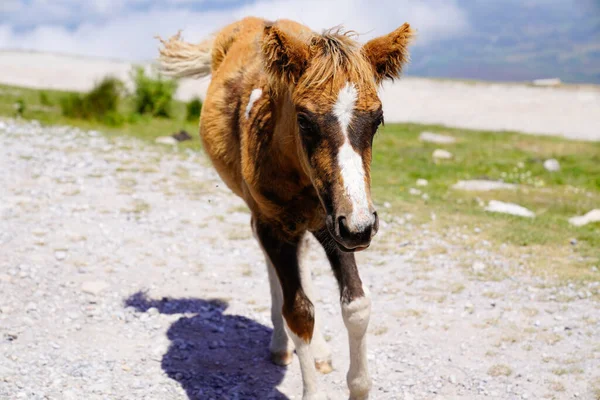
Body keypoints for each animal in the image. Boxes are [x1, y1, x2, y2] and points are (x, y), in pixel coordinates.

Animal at [157, 17, 414, 398]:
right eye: (304, 119)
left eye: (378, 118)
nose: (361, 228)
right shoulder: (278, 224)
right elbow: (298, 312)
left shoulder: (335, 222)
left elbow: (357, 305)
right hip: (267, 217)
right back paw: (280, 344)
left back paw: (320, 351)